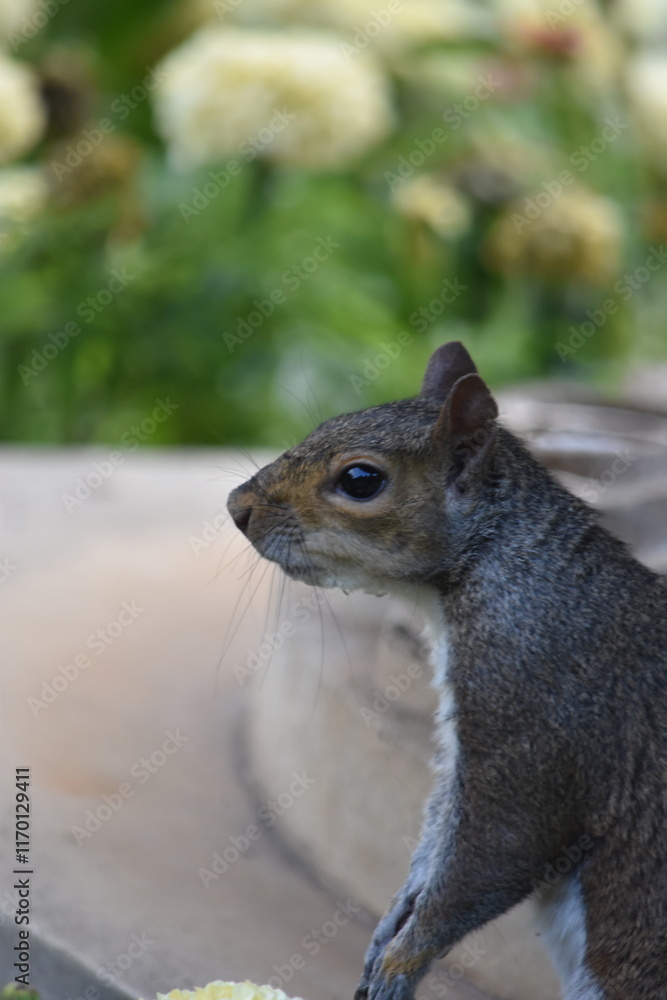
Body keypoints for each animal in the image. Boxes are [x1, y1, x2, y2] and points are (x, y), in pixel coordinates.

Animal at [227, 341, 667, 1000]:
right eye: (324, 424)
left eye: (361, 480)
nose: (236, 507)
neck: (499, 563)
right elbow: (436, 838)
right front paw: (390, 926)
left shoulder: (536, 713)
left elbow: (492, 855)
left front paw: (401, 962)